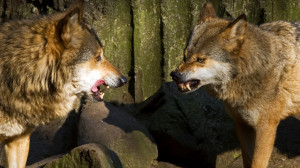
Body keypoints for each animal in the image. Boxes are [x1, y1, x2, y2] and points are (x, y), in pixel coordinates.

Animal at [171, 2, 300, 168]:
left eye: (200, 60)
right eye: (185, 56)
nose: (174, 75)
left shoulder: (266, 128)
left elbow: (257, 163)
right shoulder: (241, 124)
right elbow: (247, 161)